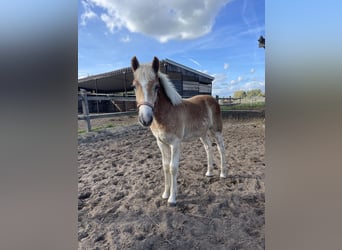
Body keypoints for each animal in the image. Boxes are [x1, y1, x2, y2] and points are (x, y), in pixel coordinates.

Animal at [131, 56, 227, 205]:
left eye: (156, 87)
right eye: (134, 86)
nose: (145, 119)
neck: (168, 112)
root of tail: (212, 99)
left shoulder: (175, 143)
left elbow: (173, 168)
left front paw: (172, 198)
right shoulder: (161, 143)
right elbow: (165, 166)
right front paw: (165, 194)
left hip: (216, 130)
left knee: (221, 148)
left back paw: (223, 174)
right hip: (202, 133)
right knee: (208, 148)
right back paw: (209, 172)